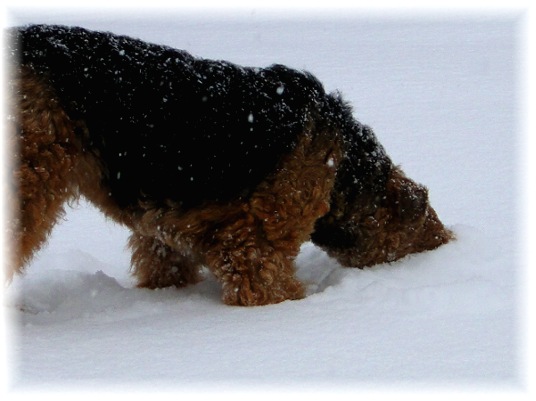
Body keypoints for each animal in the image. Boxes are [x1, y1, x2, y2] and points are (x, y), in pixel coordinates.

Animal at [4, 25, 452, 304]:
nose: (450, 241)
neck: (342, 166)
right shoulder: (254, 246)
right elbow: (271, 286)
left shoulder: (163, 238)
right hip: (32, 179)